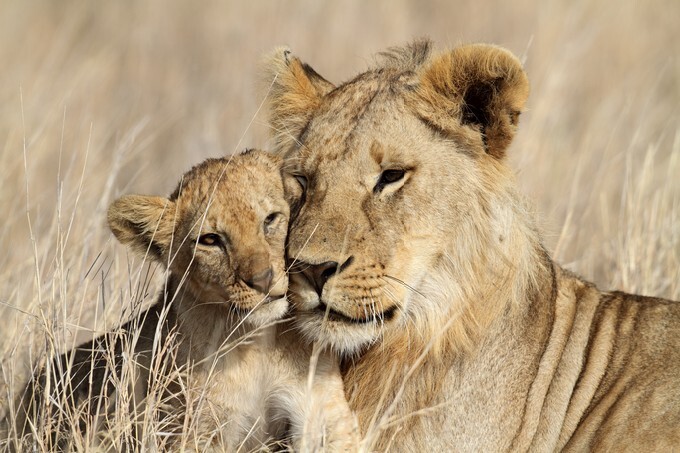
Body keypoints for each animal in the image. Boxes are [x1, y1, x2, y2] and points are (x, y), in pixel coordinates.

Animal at [11, 150, 357, 452]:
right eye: (211, 240)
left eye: (270, 219)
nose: (262, 280)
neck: (259, 345)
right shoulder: (194, 429)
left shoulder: (321, 414)